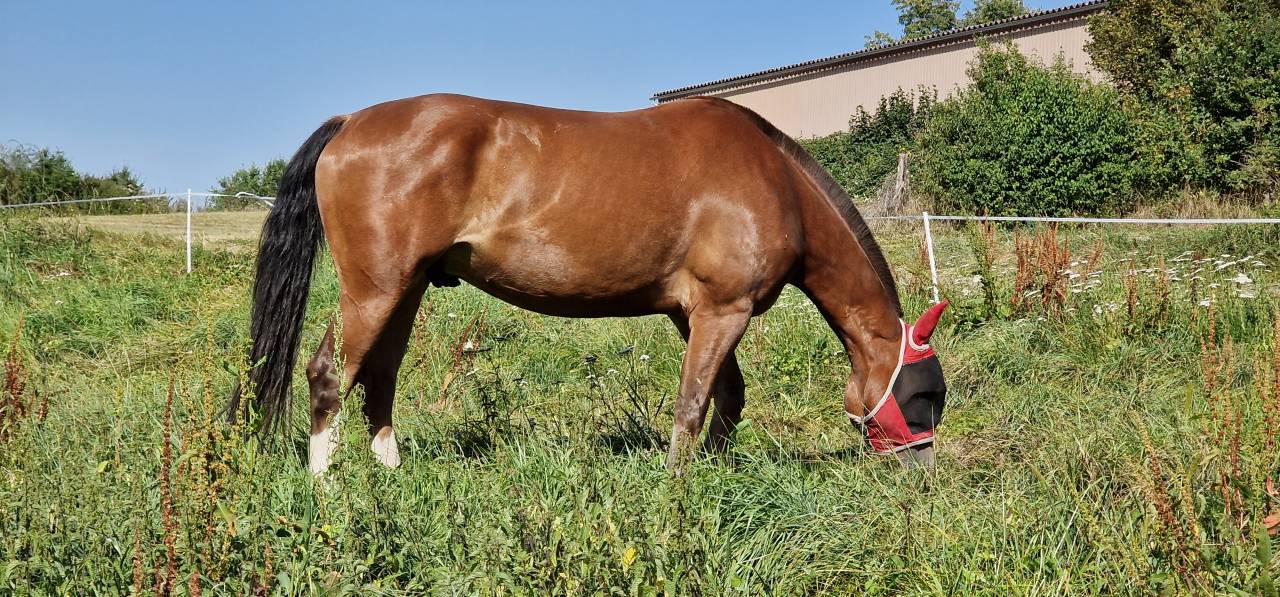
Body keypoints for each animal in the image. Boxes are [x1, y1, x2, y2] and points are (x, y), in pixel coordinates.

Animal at [229, 93, 949, 473]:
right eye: (925, 395)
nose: (921, 471)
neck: (775, 179)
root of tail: (350, 123)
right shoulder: (723, 310)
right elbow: (694, 403)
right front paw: (679, 491)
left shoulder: (698, 314)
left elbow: (728, 397)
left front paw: (714, 474)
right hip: (374, 291)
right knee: (329, 375)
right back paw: (328, 491)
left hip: (404, 292)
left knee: (379, 378)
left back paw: (393, 476)